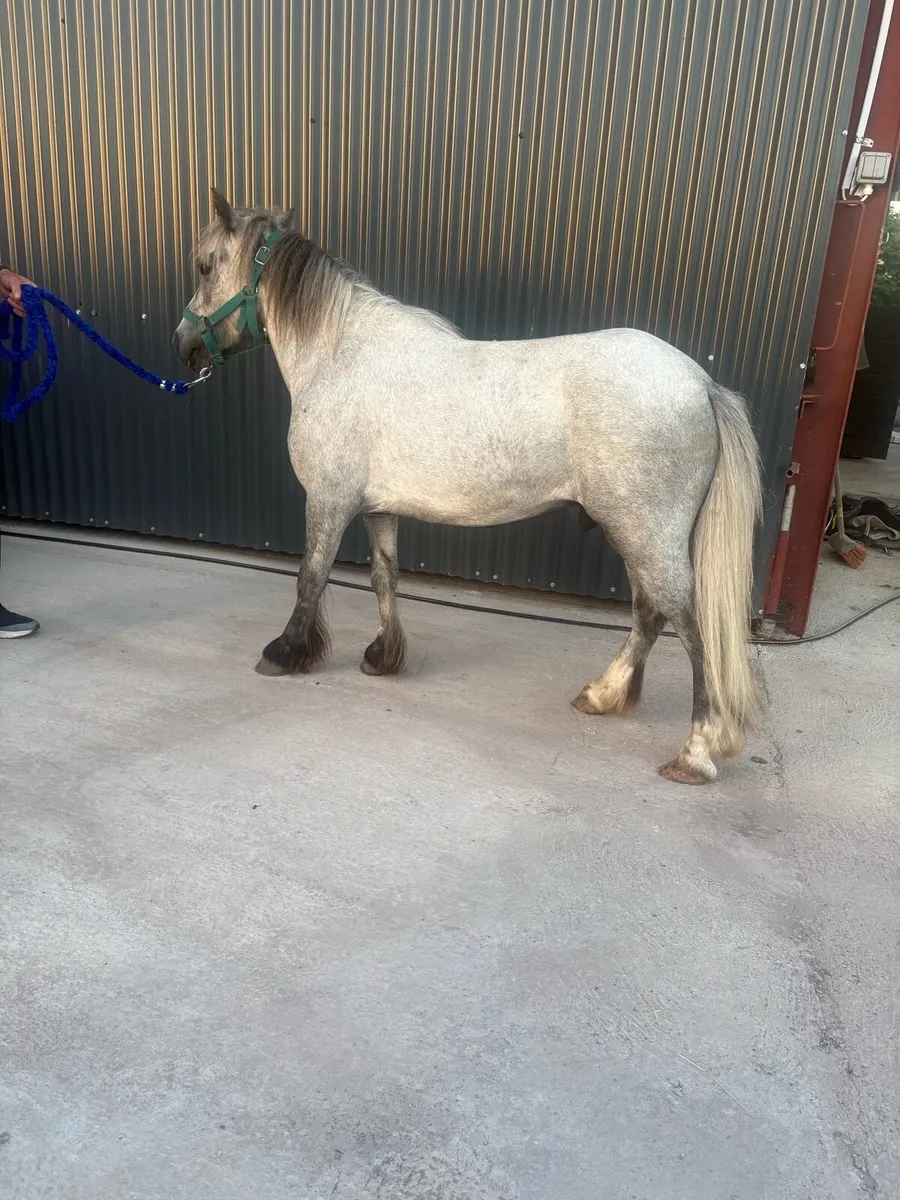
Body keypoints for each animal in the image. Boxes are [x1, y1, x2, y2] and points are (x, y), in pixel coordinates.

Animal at [173, 191, 763, 784]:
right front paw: (382, 657)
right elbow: (385, 578)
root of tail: (700, 383)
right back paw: (602, 695)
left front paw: (283, 652)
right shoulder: (377, 509)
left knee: (687, 623)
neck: (342, 356)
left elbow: (310, 578)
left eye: (205, 266)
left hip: (646, 531)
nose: (182, 346)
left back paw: (694, 752)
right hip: (636, 532)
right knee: (649, 614)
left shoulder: (329, 500)